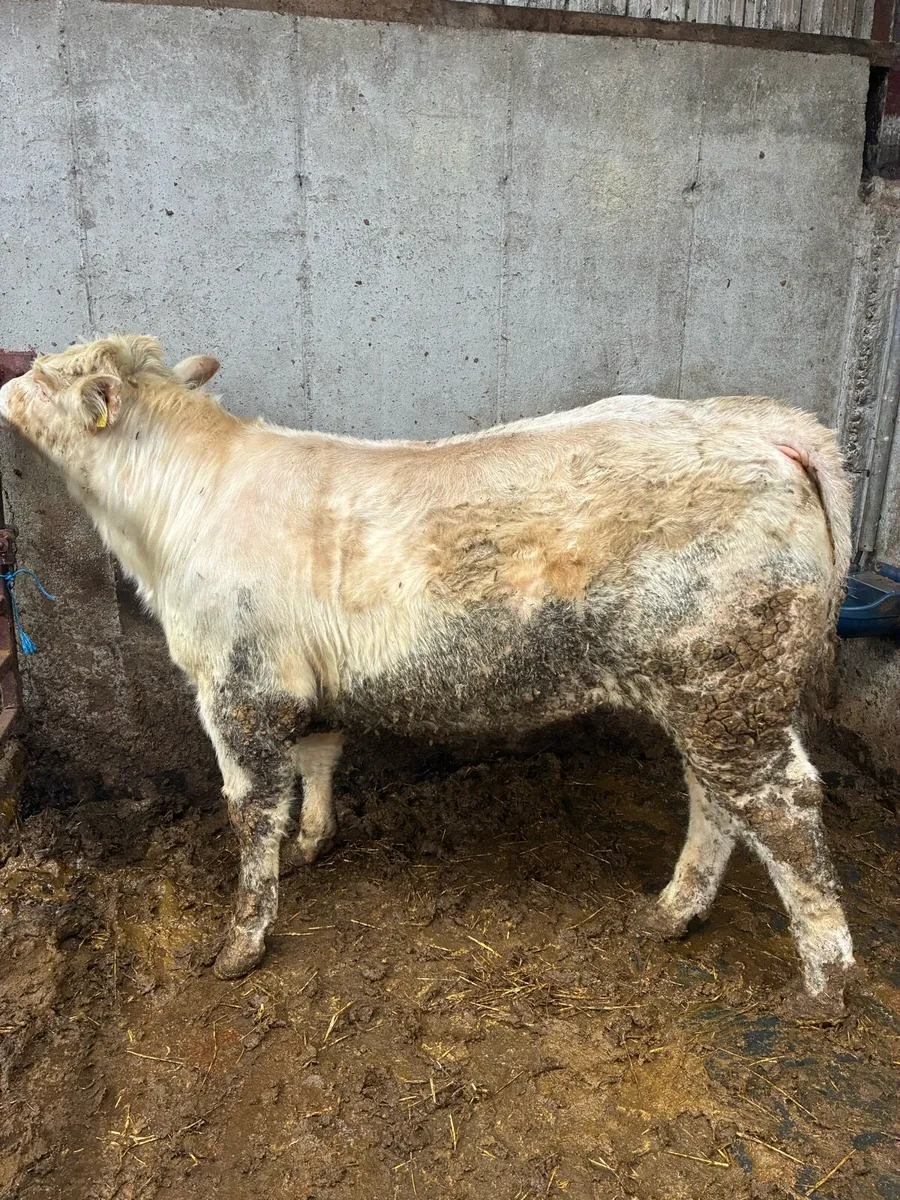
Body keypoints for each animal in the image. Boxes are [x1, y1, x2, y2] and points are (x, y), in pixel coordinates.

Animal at [0, 334, 856, 1018]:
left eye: (46, 375)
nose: (7, 380)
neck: (165, 519)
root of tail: (761, 426)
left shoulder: (237, 684)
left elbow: (250, 809)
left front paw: (243, 938)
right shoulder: (303, 684)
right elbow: (318, 758)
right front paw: (312, 841)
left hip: (728, 677)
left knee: (782, 807)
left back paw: (825, 984)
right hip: (706, 688)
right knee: (716, 800)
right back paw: (674, 911)